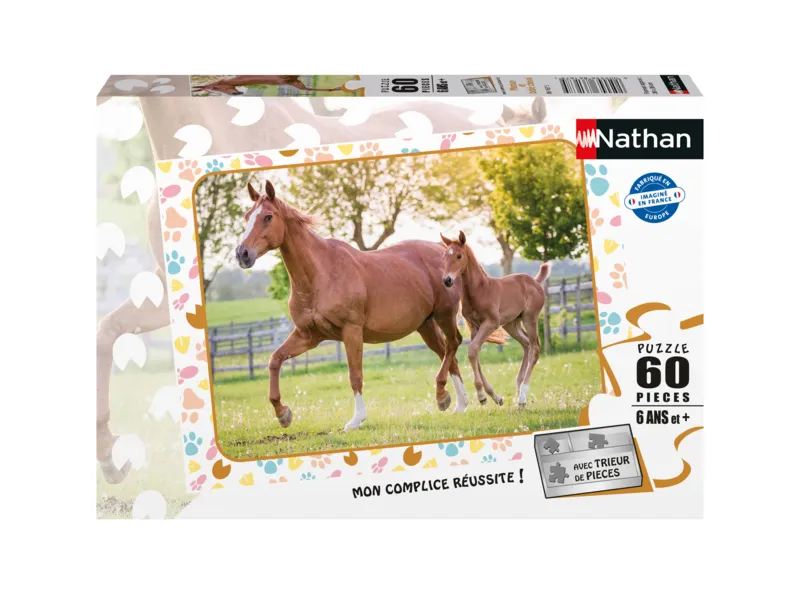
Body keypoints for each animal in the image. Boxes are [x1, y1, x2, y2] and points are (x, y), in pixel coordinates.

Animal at [235, 180, 482, 431]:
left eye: (267, 217)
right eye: (247, 216)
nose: (242, 254)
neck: (321, 273)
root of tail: (445, 253)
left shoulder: (351, 331)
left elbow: (355, 375)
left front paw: (356, 420)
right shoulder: (308, 335)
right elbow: (275, 359)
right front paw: (283, 414)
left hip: (444, 315)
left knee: (453, 344)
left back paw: (444, 395)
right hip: (426, 325)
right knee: (447, 353)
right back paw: (456, 403)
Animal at [440, 231, 550, 408]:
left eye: (459, 256)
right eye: (444, 256)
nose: (447, 280)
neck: (479, 290)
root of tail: (534, 281)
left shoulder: (490, 323)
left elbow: (472, 350)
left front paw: (481, 395)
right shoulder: (476, 326)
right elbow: (474, 353)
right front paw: (494, 397)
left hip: (530, 318)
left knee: (535, 348)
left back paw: (523, 396)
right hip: (511, 324)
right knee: (526, 344)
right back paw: (519, 393)